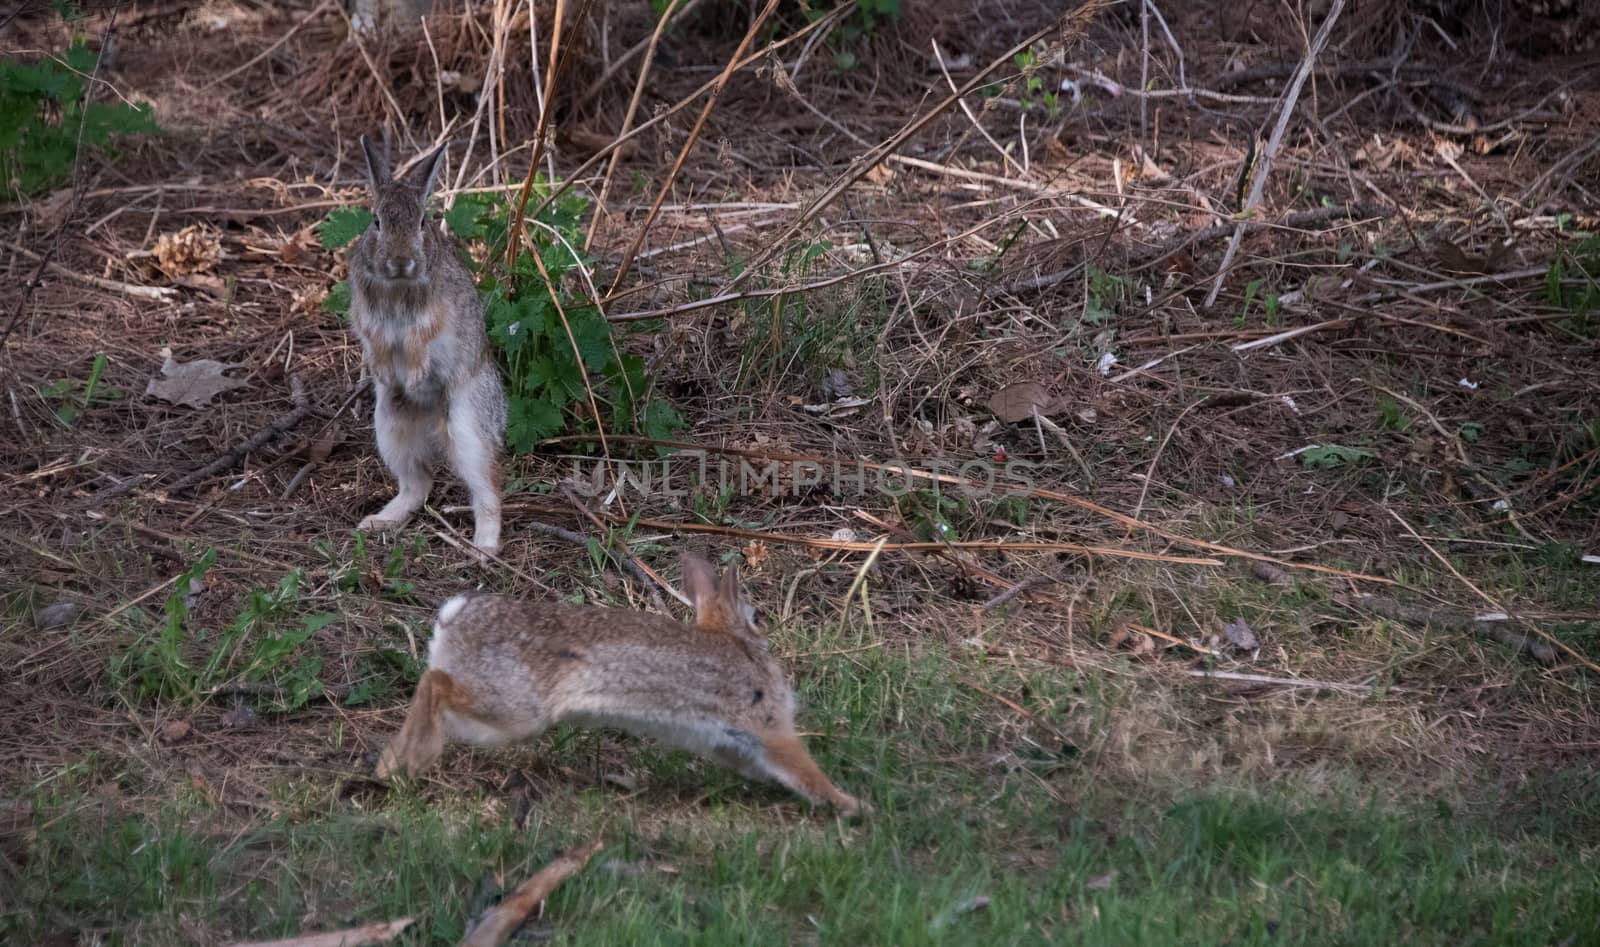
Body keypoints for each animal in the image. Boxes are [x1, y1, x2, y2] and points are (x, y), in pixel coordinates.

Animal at [350, 136, 505, 559]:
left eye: (421, 222)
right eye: (376, 221)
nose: (400, 261)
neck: (397, 284)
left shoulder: (431, 317)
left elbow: (419, 339)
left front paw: (417, 374)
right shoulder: (368, 318)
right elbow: (376, 341)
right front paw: (383, 370)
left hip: (467, 425)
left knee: (488, 488)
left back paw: (484, 546)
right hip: (388, 424)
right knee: (417, 485)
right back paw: (378, 522)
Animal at [376, 553, 864, 812]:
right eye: (758, 616)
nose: (764, 627)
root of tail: (455, 618)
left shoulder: (736, 743)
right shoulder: (768, 724)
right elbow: (804, 769)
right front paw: (852, 805)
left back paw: (391, 763)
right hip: (513, 709)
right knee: (434, 684)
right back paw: (411, 759)